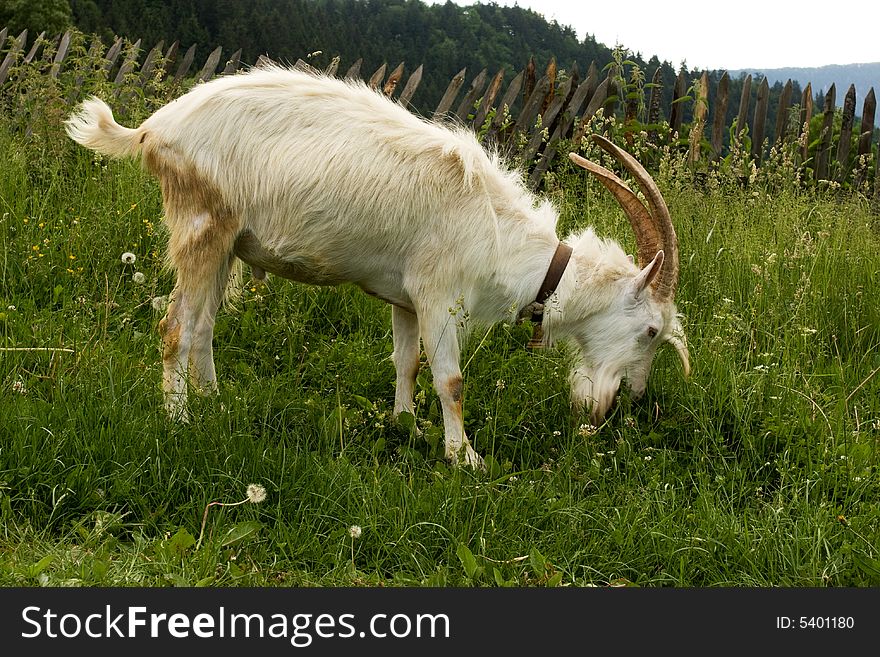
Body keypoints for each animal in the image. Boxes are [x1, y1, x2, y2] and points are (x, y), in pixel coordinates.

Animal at [65, 65, 692, 466]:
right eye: (651, 330)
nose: (631, 400)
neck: (498, 232)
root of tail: (154, 128)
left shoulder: (405, 300)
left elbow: (407, 363)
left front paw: (405, 425)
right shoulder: (440, 296)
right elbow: (451, 379)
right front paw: (464, 457)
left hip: (226, 244)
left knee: (203, 327)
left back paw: (214, 400)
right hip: (201, 226)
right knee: (175, 325)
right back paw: (179, 419)